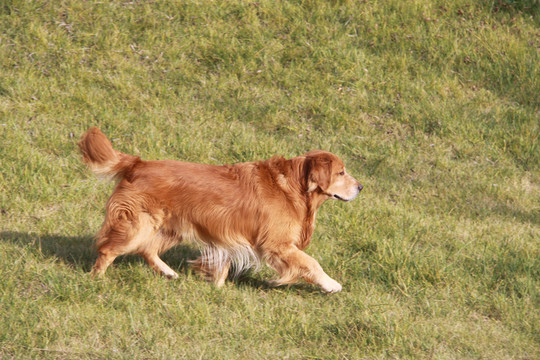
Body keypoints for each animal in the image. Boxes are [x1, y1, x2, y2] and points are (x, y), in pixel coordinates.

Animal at [77, 127, 362, 292]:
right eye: (341, 172)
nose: (360, 187)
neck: (294, 185)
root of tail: (137, 163)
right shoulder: (277, 244)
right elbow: (311, 263)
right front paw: (331, 284)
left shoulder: (228, 236)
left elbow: (222, 264)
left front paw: (217, 288)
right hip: (139, 224)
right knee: (109, 249)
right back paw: (96, 279)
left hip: (171, 227)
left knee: (147, 250)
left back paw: (169, 272)